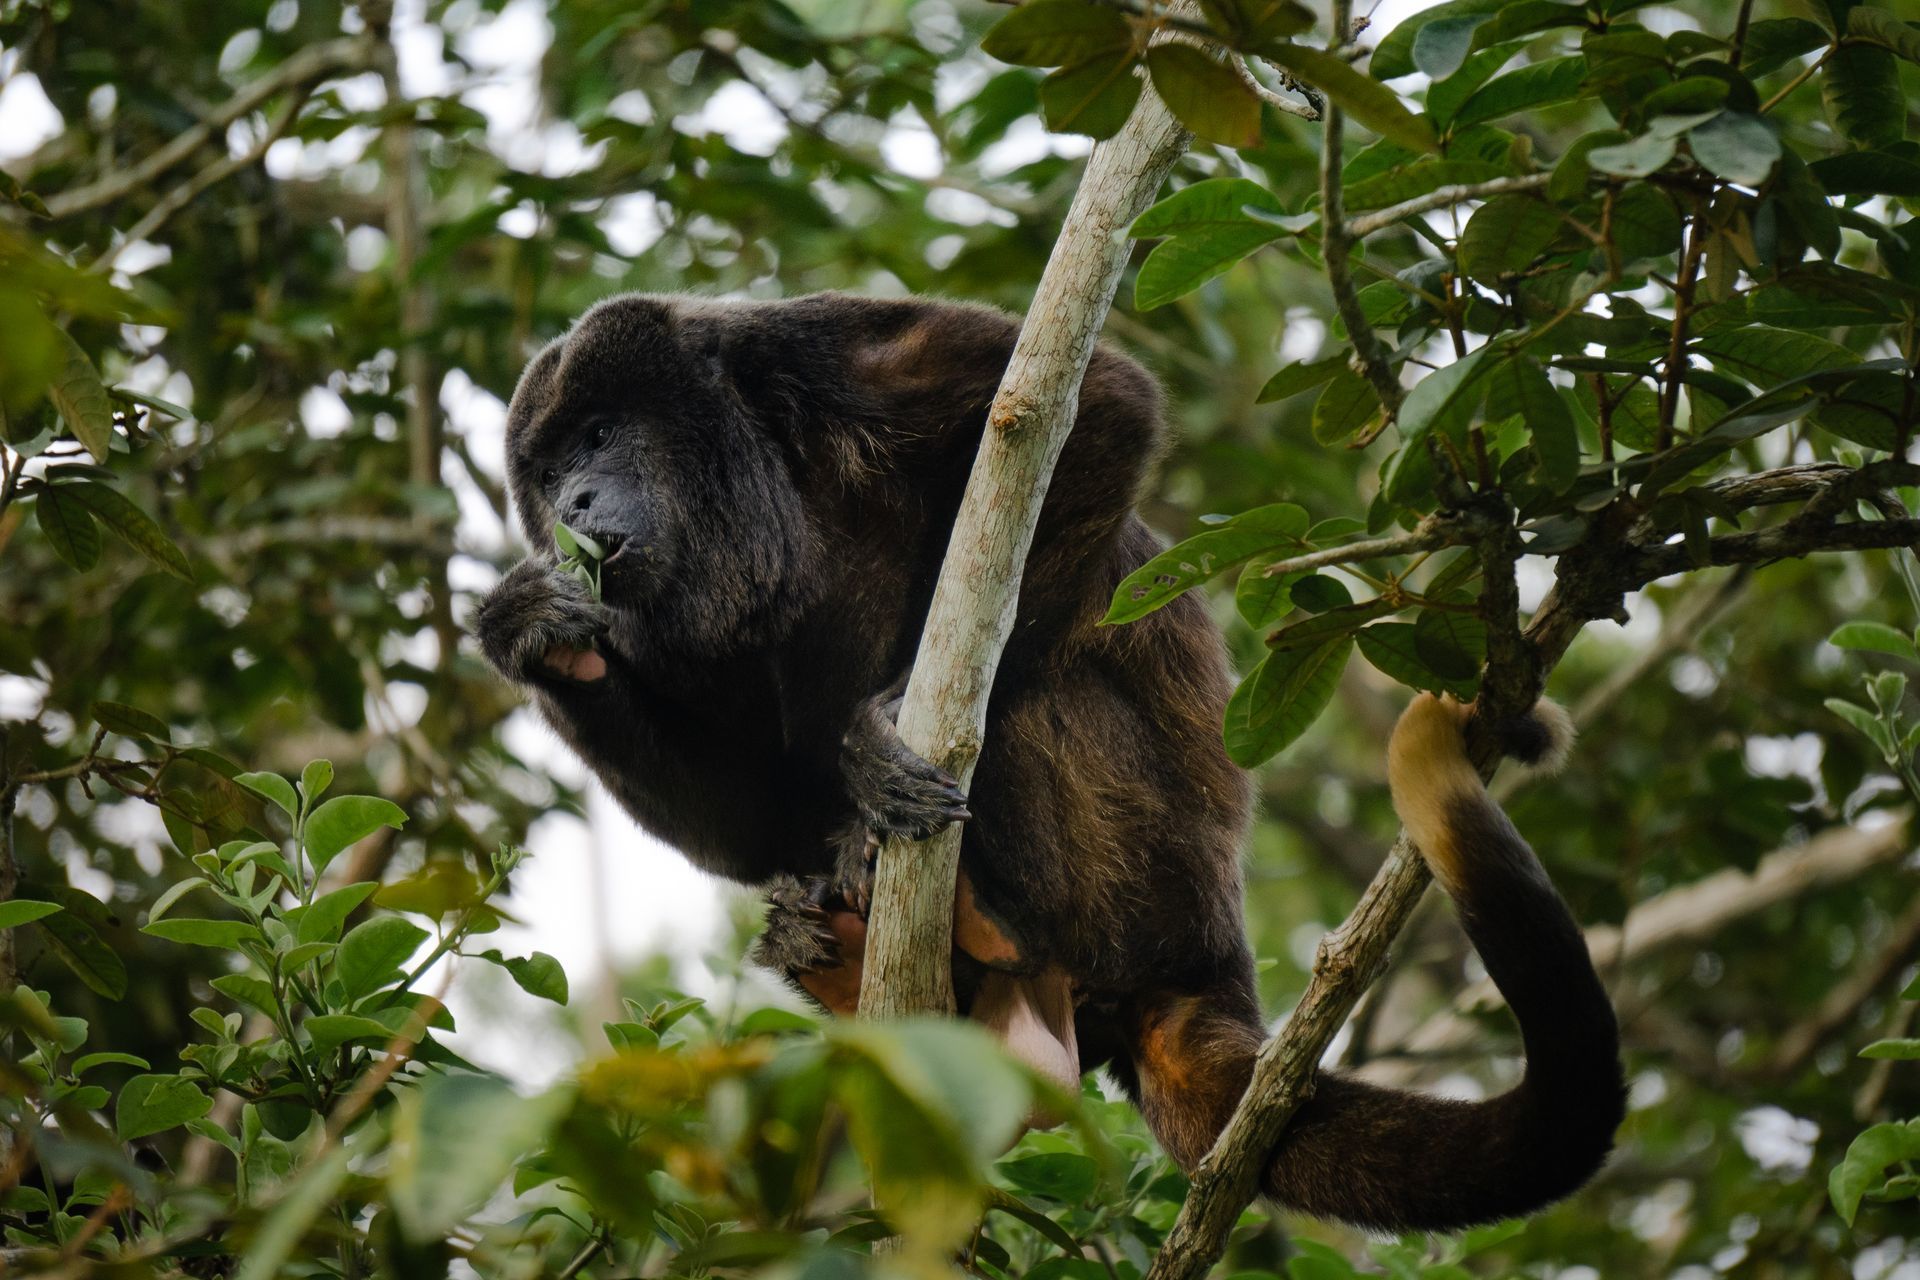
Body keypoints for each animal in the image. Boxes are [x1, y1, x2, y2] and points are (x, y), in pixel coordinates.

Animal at [472, 290, 1625, 1232]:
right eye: (550, 472)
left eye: (600, 436)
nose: (572, 505)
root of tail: (1213, 950)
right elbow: (750, 820)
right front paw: (535, 628)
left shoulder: (801, 354)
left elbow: (1090, 404)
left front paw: (877, 734)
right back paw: (850, 949)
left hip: (1143, 873)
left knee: (1032, 692)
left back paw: (974, 897)